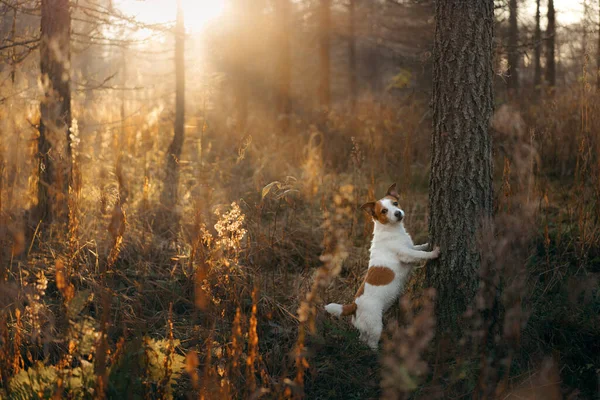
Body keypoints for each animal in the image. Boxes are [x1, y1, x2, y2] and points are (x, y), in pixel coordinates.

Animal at [324, 183, 440, 348]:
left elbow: (419, 247)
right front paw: (434, 253)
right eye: (384, 211)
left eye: (395, 203)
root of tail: (354, 305)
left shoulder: (410, 248)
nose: (398, 213)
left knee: (362, 338)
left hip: (365, 328)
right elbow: (420, 255)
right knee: (371, 342)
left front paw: (427, 243)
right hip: (376, 326)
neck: (391, 230)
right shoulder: (406, 254)